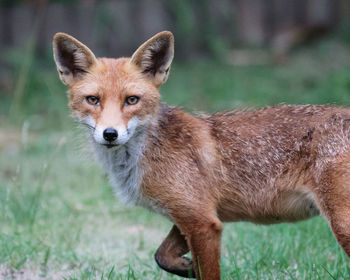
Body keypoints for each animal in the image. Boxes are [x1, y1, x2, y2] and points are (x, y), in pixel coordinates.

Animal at [53, 30, 350, 278]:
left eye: (131, 100)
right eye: (93, 100)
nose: (110, 134)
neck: (143, 156)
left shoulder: (203, 223)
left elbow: (205, 271)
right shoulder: (193, 214)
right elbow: (162, 255)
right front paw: (186, 268)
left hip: (342, 225)